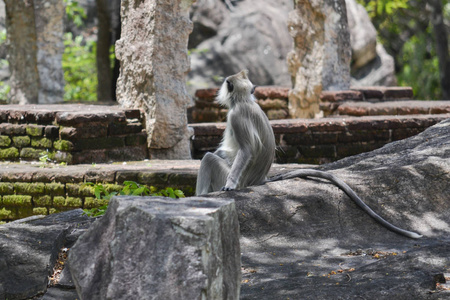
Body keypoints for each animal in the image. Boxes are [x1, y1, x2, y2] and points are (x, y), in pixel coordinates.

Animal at [196, 68, 422, 239]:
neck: (244, 101)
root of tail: (260, 180)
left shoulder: (235, 116)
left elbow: (246, 150)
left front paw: (229, 185)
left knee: (208, 159)